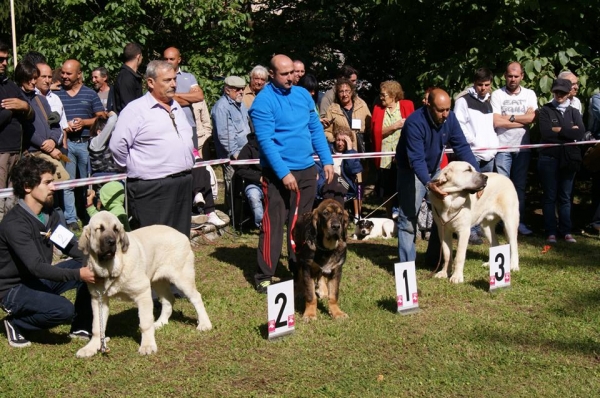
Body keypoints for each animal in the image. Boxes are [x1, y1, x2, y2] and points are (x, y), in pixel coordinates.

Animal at [75, 211, 212, 358]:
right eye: (99, 229)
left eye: (116, 229)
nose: (111, 242)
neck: (111, 267)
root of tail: (182, 235)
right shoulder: (98, 299)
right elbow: (97, 327)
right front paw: (91, 347)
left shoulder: (142, 293)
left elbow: (145, 323)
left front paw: (147, 345)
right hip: (158, 281)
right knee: (168, 300)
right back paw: (160, 322)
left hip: (182, 278)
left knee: (196, 297)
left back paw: (204, 323)